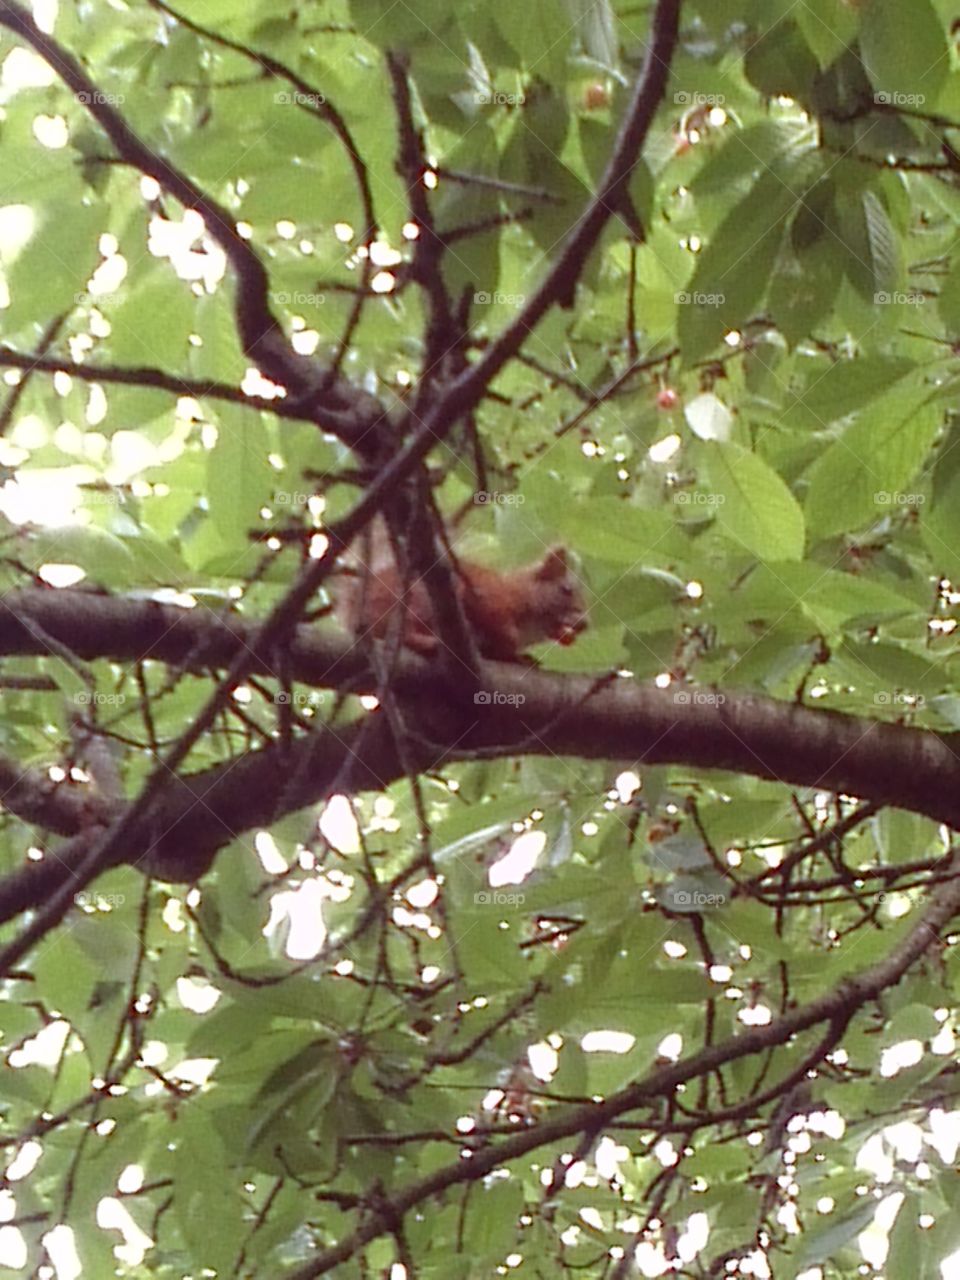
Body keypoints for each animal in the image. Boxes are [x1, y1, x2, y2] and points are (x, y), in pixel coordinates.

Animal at [335, 524, 591, 660]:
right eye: (566, 590)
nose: (585, 623)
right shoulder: (487, 595)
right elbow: (503, 631)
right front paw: (510, 649)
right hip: (417, 602)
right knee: (404, 631)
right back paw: (430, 641)